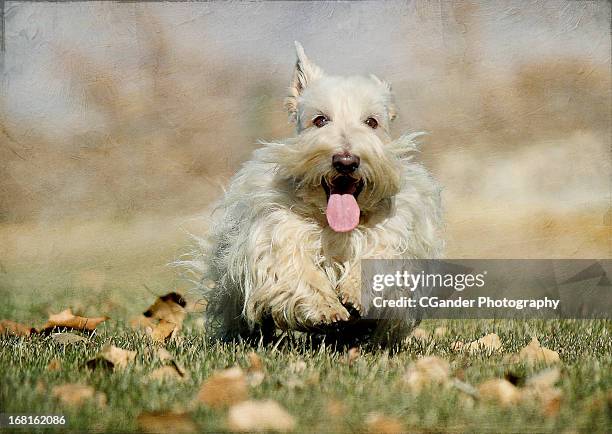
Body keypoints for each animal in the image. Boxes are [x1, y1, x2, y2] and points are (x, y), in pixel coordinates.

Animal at [184, 42, 442, 344]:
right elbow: (295, 268)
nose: (346, 161)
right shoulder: (277, 232)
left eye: (371, 122)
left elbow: (378, 257)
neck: (335, 226)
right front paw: (325, 307)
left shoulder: (395, 233)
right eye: (320, 120)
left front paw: (354, 293)